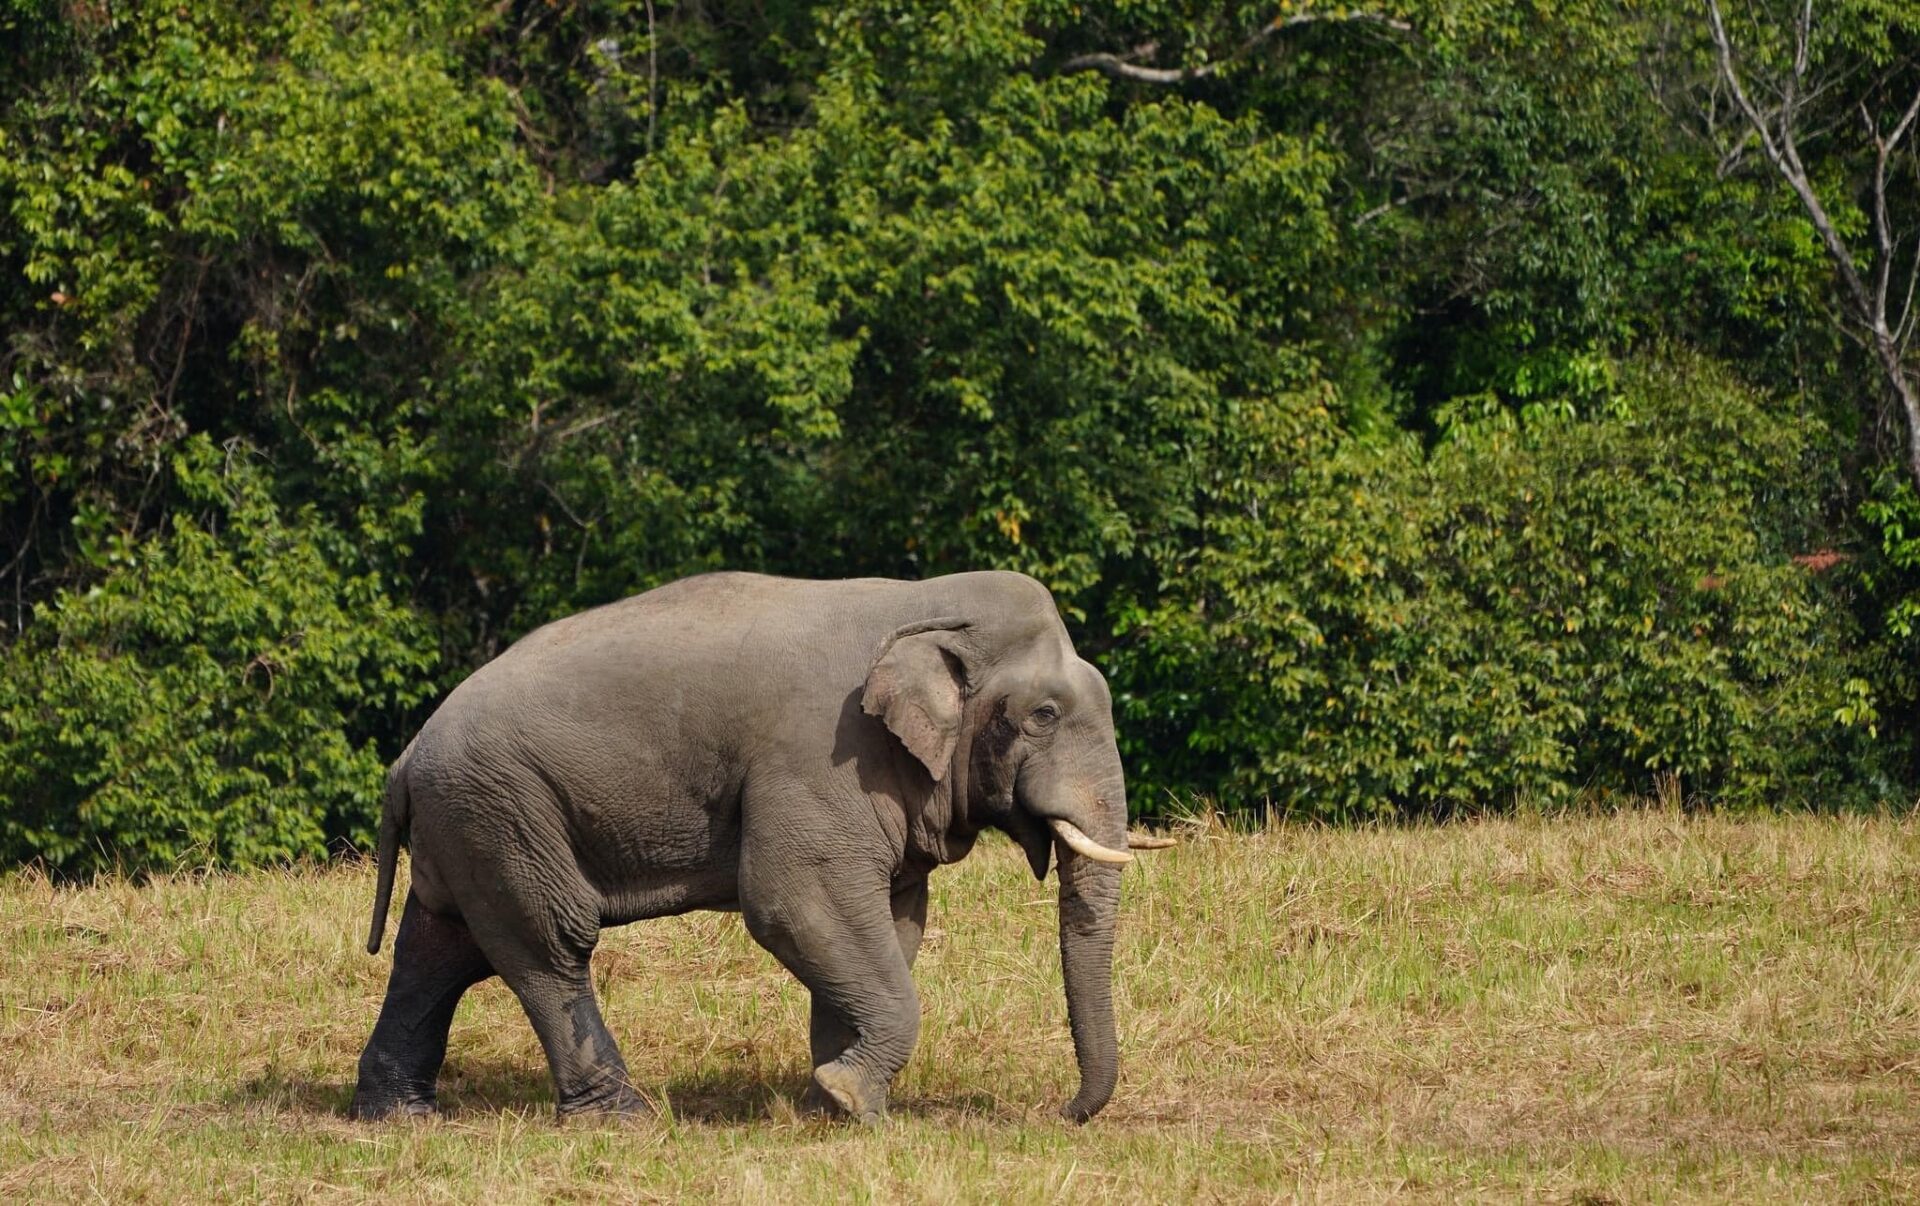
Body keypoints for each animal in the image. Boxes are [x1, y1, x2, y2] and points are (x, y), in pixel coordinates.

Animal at [357, 568, 1167, 1129]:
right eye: (1044, 714)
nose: (1059, 1113)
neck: (922, 603)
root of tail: (407, 758)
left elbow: (894, 921)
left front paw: (836, 1110)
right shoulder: (823, 755)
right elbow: (794, 900)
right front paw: (848, 1099)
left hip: (473, 822)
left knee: (440, 950)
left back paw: (400, 1116)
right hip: (504, 810)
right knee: (548, 945)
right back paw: (623, 1120)